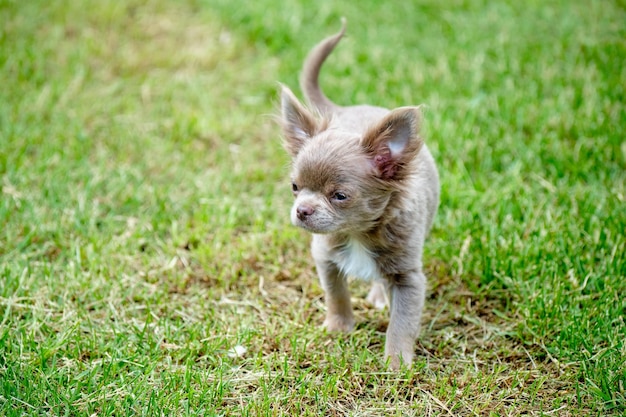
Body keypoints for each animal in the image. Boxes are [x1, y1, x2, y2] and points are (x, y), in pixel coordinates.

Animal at [280, 21, 438, 368]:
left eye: (339, 196)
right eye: (295, 188)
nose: (302, 210)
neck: (357, 232)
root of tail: (345, 110)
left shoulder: (409, 277)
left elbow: (402, 321)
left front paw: (396, 364)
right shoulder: (325, 258)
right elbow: (336, 295)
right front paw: (339, 329)